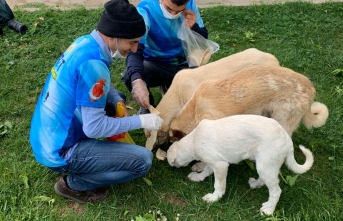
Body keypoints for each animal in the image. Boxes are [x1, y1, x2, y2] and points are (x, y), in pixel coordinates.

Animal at [167, 115, 314, 215]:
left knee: (276, 191)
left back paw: (268, 209)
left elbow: (218, 185)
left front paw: (214, 198)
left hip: (265, 164)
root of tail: (288, 140)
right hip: (264, 164)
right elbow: (206, 171)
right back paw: (255, 184)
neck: (193, 140)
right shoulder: (213, 160)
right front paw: (197, 177)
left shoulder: (220, 165)